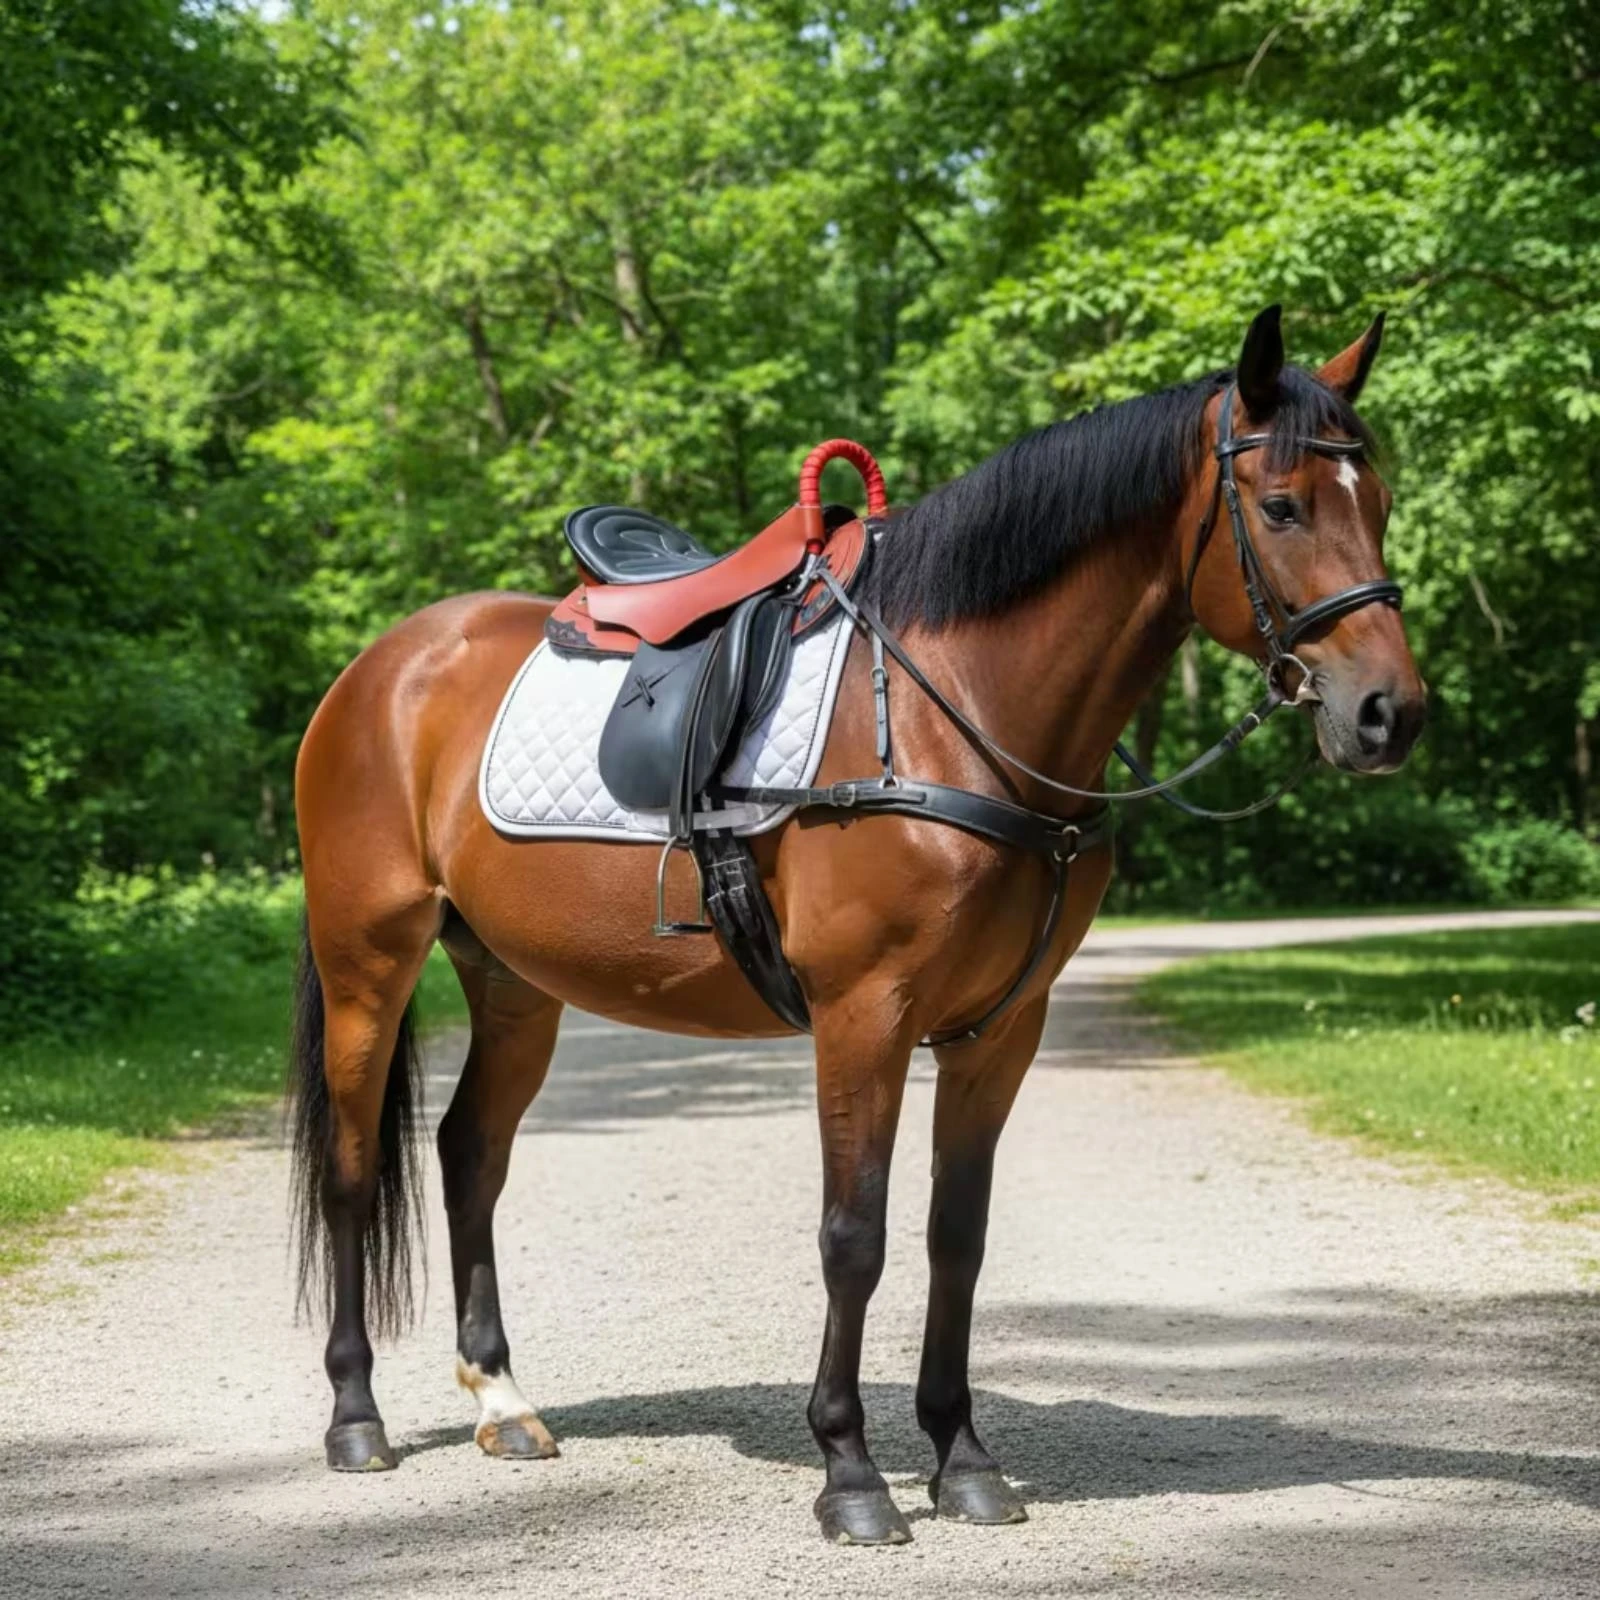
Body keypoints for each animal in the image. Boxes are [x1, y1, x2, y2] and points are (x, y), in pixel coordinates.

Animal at [287, 305, 1425, 1545]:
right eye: (1281, 506)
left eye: (1379, 500)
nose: (1391, 714)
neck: (947, 710)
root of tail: (376, 671)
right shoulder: (861, 1016)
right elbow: (854, 1234)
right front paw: (851, 1472)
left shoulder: (998, 1030)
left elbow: (954, 1237)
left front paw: (962, 1458)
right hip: (369, 964)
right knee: (353, 1167)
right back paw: (354, 1419)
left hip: (513, 980)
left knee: (469, 1156)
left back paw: (502, 1400)